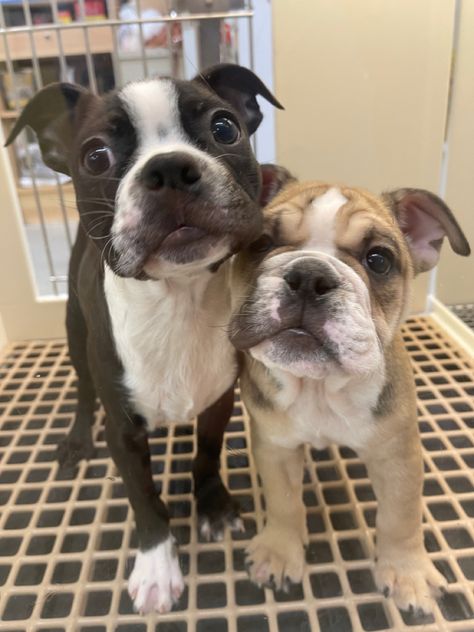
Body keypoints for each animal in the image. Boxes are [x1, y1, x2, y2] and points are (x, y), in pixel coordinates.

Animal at [7, 66, 284, 616]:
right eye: (96, 156)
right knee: (83, 390)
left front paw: (213, 506)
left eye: (225, 128)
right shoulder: (123, 432)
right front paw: (156, 566)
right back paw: (76, 439)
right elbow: (142, 498)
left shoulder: (218, 401)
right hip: (75, 332)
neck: (177, 300)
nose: (170, 168)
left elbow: (206, 455)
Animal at [230, 180, 470, 616]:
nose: (309, 275)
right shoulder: (276, 447)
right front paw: (279, 551)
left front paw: (406, 572)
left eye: (379, 260)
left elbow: (400, 516)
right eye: (261, 243)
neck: (320, 387)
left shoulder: (398, 456)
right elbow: (284, 501)